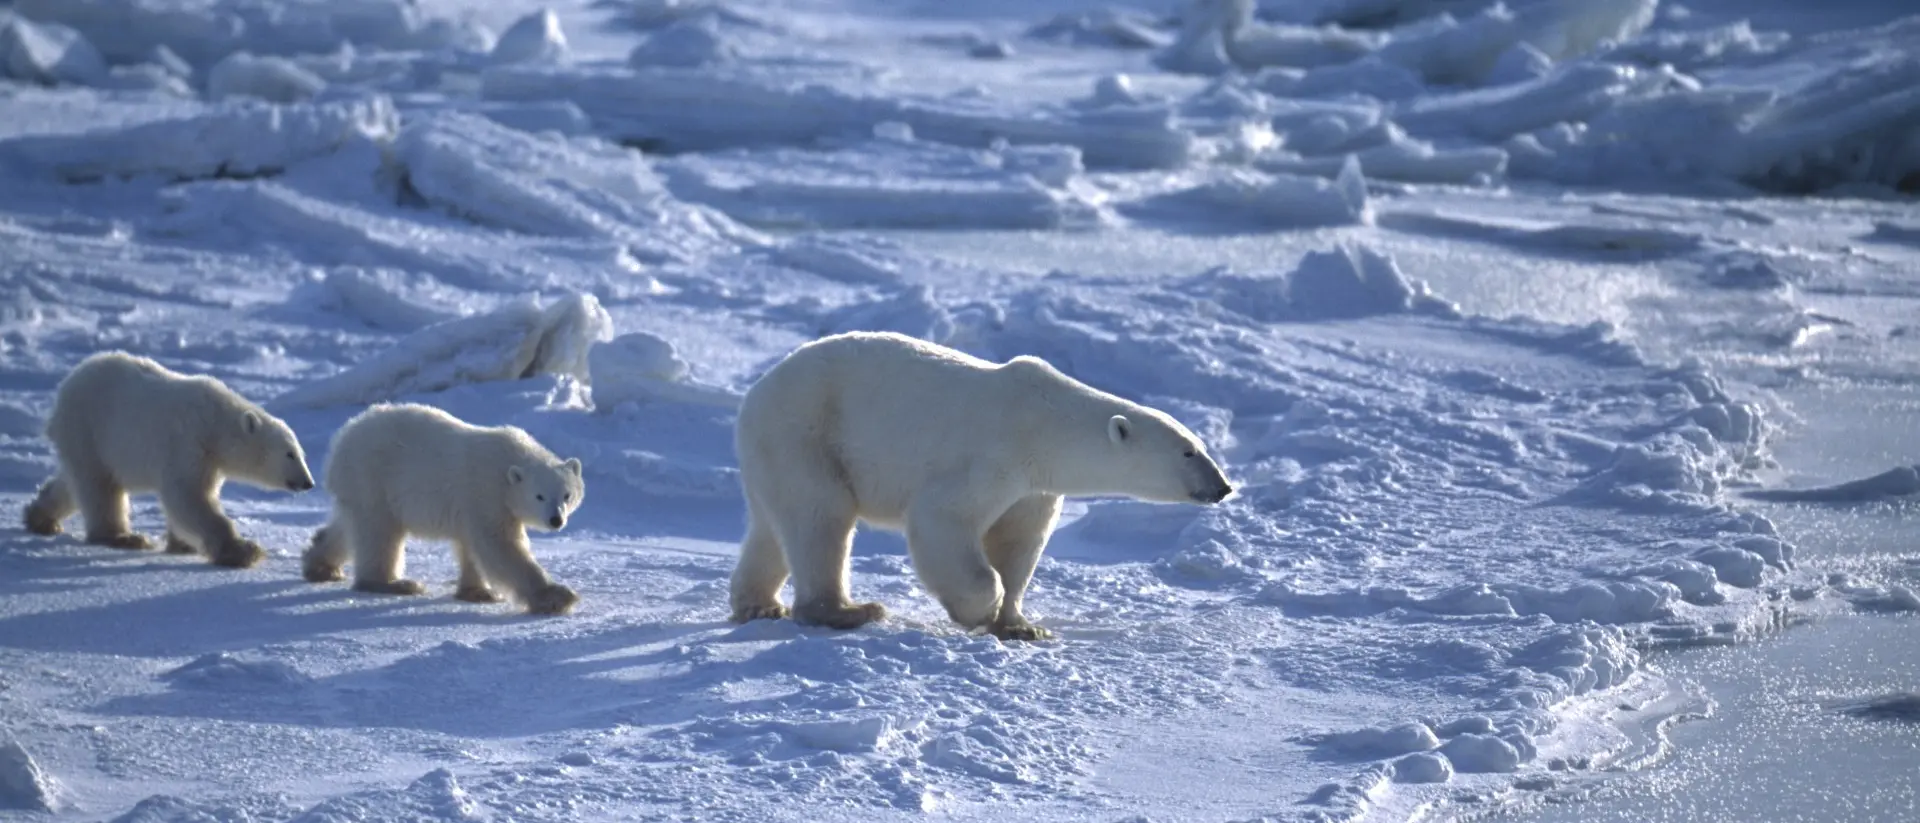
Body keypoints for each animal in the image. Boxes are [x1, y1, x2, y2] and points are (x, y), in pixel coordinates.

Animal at [22, 351, 315, 568]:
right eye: (289, 453)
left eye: (301, 453)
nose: (308, 482)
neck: (215, 424)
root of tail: (66, 385)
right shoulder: (188, 443)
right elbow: (188, 497)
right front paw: (243, 551)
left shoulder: (209, 461)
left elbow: (192, 497)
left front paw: (181, 544)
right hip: (89, 427)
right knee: (100, 488)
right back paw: (123, 537)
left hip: (85, 440)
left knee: (74, 481)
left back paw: (40, 518)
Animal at [302, 402, 585, 616]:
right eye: (539, 496)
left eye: (566, 495)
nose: (556, 520)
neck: (507, 465)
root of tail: (342, 437)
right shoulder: (486, 492)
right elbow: (500, 545)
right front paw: (557, 597)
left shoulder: (477, 505)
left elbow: (471, 546)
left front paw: (477, 591)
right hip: (373, 478)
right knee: (380, 533)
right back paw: (394, 583)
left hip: (359, 487)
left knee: (349, 526)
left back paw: (321, 566)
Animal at [728, 331, 1235, 641]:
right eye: (1188, 452)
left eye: (1200, 445)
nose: (1223, 487)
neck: (1046, 425)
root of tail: (756, 393)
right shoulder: (994, 457)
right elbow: (941, 519)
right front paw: (978, 610)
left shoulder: (1034, 487)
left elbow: (1019, 544)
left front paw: (1022, 626)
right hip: (808, 432)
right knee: (822, 517)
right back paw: (847, 611)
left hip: (777, 450)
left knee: (773, 526)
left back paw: (759, 606)